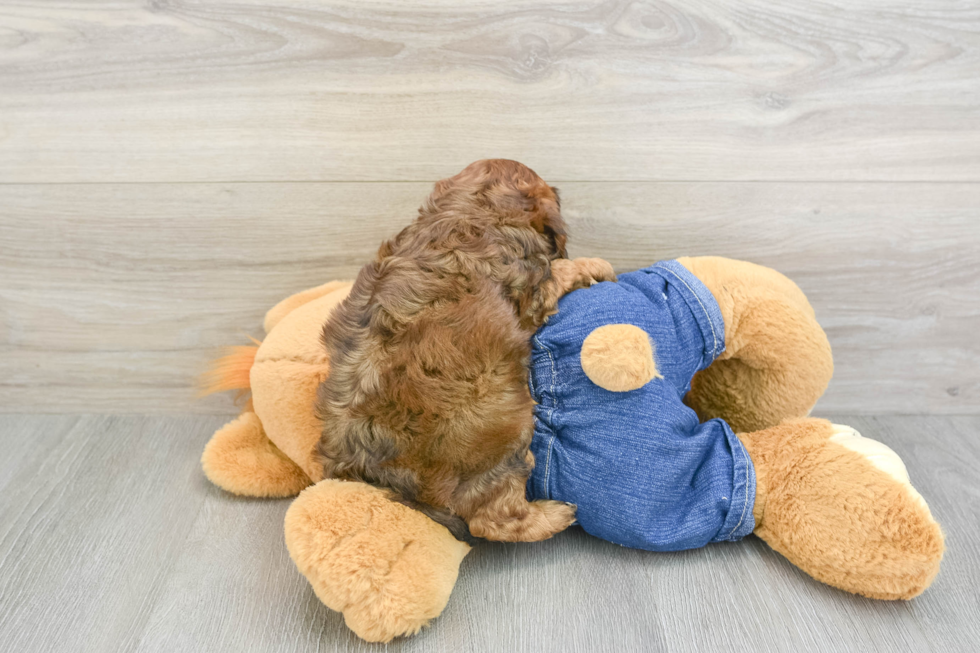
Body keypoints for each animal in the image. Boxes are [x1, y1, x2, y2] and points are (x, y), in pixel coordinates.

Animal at [318, 160, 616, 544]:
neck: (468, 209)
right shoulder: (534, 289)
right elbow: (561, 269)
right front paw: (597, 266)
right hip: (503, 422)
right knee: (493, 518)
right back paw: (556, 515)